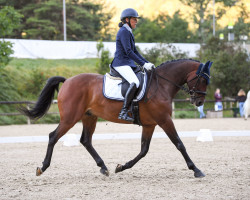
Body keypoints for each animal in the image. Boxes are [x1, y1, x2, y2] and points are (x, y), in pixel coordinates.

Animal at [20, 58, 213, 177]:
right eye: (203, 80)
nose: (199, 101)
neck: (162, 85)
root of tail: (67, 81)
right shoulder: (164, 120)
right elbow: (179, 144)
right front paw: (196, 169)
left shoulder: (150, 124)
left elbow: (143, 150)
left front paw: (121, 167)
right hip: (70, 118)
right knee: (53, 136)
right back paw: (42, 167)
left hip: (89, 117)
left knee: (86, 140)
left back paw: (103, 167)